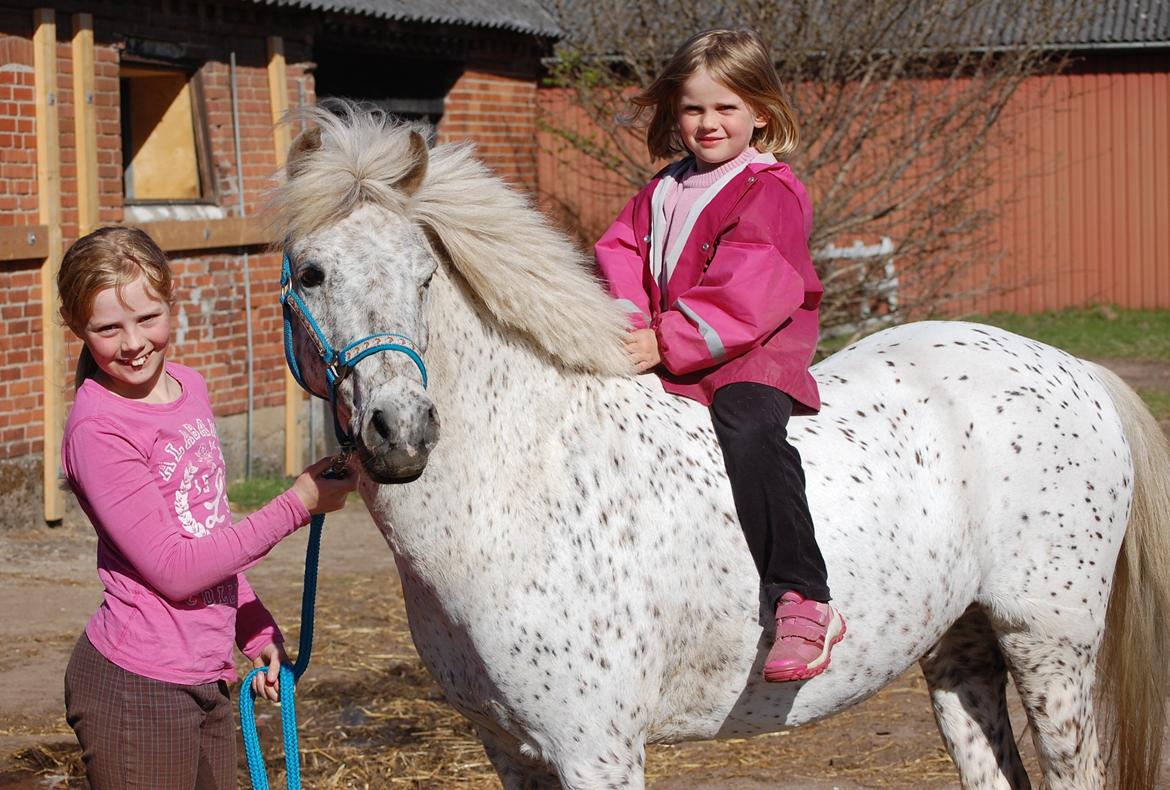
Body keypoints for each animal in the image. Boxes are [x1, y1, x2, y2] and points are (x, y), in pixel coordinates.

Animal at [268, 103, 1170, 789]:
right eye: (310, 273)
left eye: (424, 276)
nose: (402, 432)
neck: (525, 481)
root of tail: (1075, 370)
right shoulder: (509, 751)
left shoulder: (597, 753)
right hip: (961, 650)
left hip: (1050, 647)